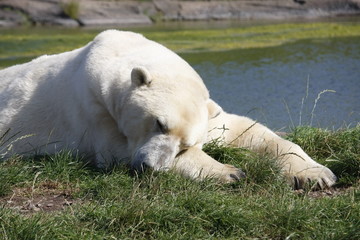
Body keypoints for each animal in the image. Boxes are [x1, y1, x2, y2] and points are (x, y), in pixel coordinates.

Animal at [0, 29, 338, 188]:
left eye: (186, 145)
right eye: (159, 123)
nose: (151, 167)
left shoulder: (208, 114)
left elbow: (243, 129)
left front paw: (316, 175)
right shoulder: (95, 109)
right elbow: (118, 151)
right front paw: (229, 172)